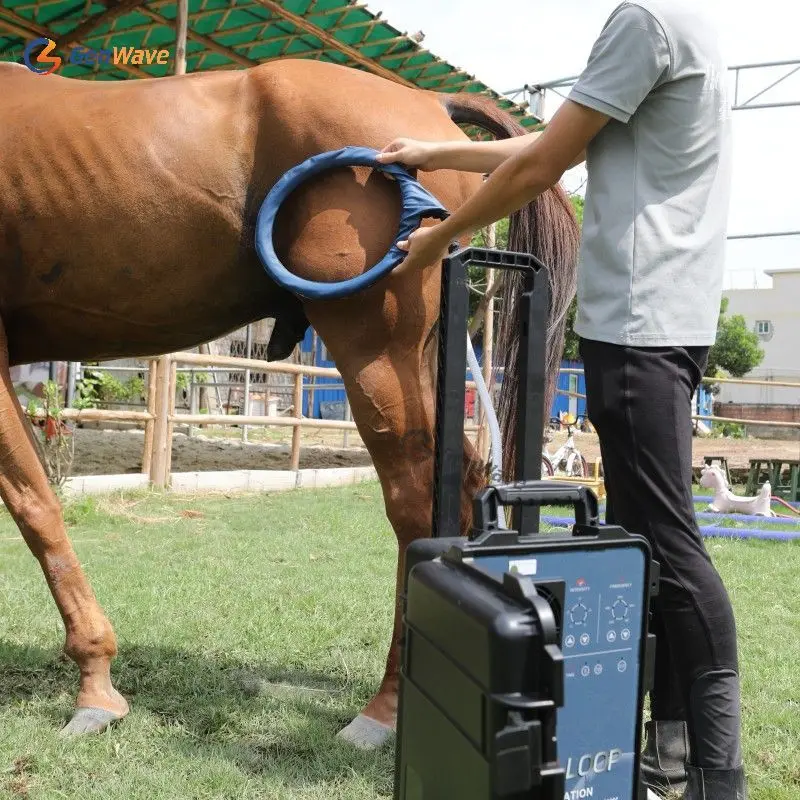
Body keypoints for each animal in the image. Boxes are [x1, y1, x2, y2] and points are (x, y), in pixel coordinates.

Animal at [0, 56, 576, 744]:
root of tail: (429, 103)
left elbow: (35, 504)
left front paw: (95, 689)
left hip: (375, 353)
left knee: (414, 504)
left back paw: (382, 713)